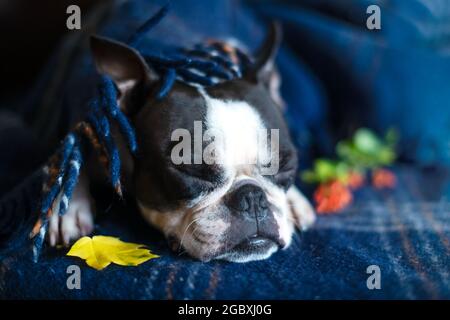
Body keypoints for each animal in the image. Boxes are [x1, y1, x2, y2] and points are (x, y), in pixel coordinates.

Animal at [44, 21, 314, 262]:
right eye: (191, 172)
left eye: (285, 166)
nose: (253, 197)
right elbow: (71, 154)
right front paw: (66, 207)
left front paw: (294, 200)